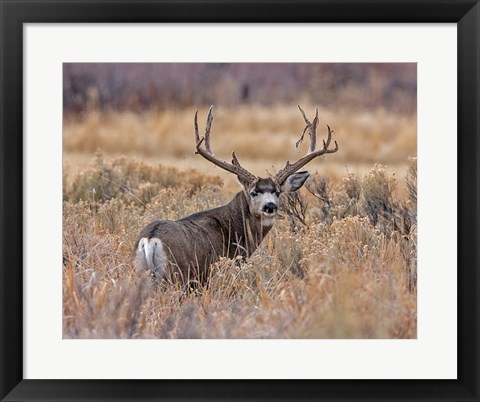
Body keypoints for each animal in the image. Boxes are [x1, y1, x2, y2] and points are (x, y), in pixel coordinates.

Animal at [133, 105, 340, 284]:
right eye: (254, 192)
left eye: (277, 192)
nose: (270, 206)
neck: (234, 230)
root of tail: (150, 239)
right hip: (177, 275)